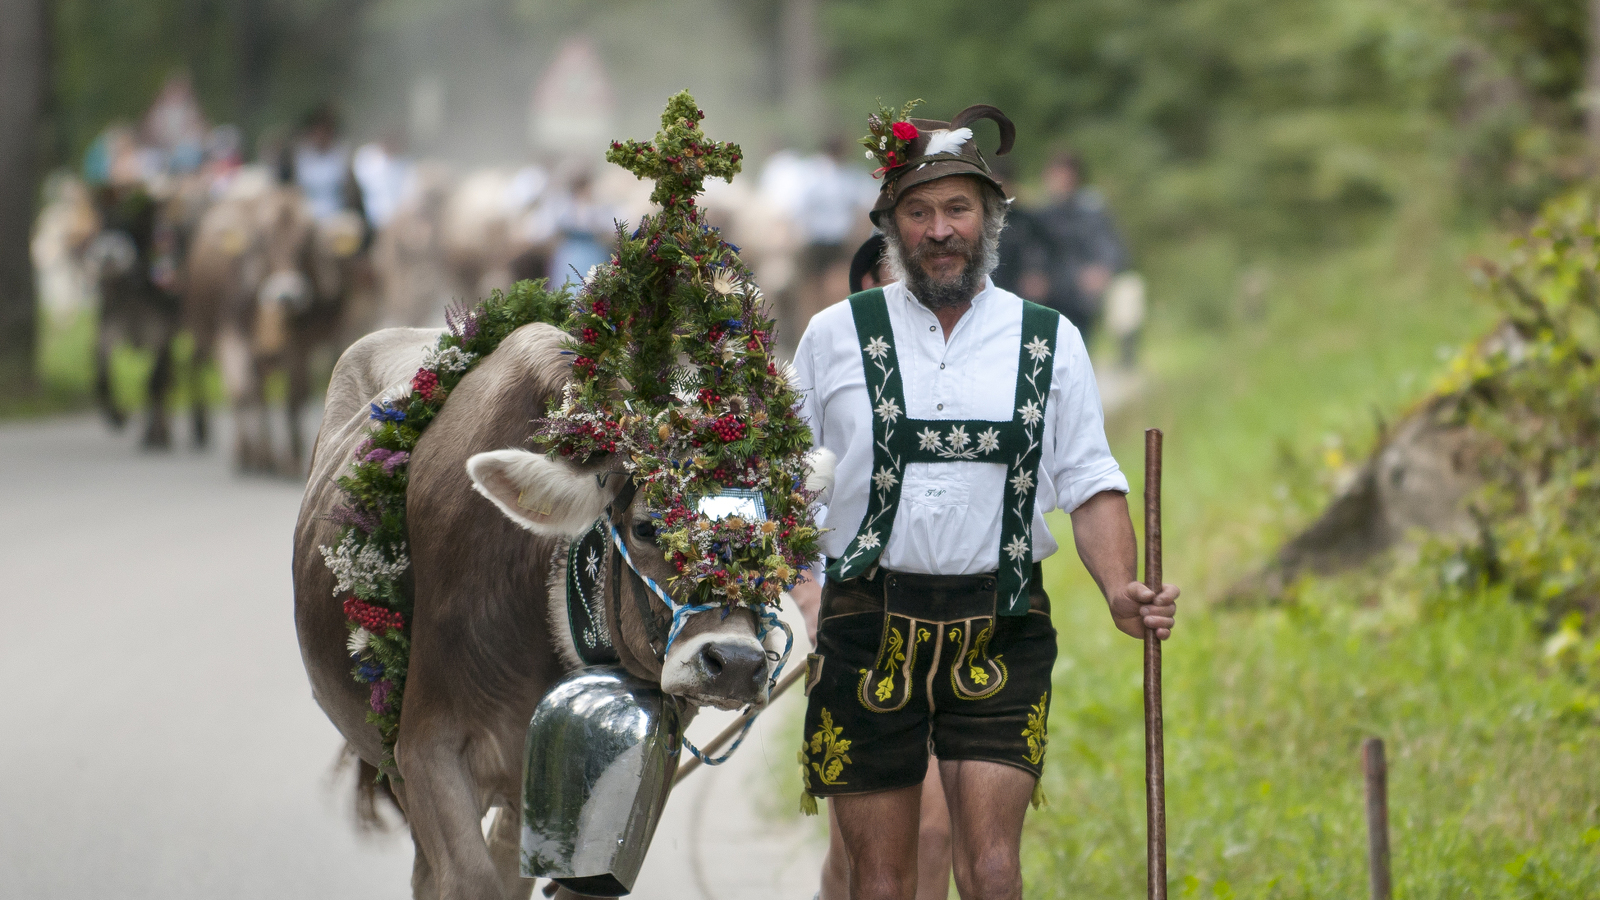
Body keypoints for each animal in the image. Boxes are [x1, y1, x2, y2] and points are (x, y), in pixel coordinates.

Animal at [292, 94, 832, 890]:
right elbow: (468, 880)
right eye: (646, 527)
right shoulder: (426, 747)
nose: (733, 663)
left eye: (781, 549)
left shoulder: (587, 780)